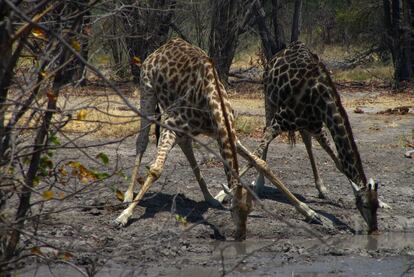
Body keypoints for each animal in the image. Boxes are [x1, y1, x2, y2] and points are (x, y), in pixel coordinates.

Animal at [115, 37, 334, 238]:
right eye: (233, 210)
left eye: (249, 211)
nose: (240, 235)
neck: (212, 100)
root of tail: (161, 48)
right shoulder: (171, 122)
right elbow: (156, 170)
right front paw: (123, 216)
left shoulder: (228, 135)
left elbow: (261, 163)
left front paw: (312, 214)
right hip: (147, 91)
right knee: (142, 141)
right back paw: (128, 196)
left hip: (181, 124)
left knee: (186, 145)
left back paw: (210, 199)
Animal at [249, 41, 384, 233]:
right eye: (365, 205)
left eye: (376, 205)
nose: (374, 229)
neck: (321, 98)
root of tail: (281, 52)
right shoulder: (280, 121)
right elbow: (255, 154)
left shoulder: (317, 126)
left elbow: (340, 163)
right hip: (269, 100)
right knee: (264, 131)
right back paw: (259, 184)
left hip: (305, 125)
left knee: (307, 142)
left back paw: (321, 188)